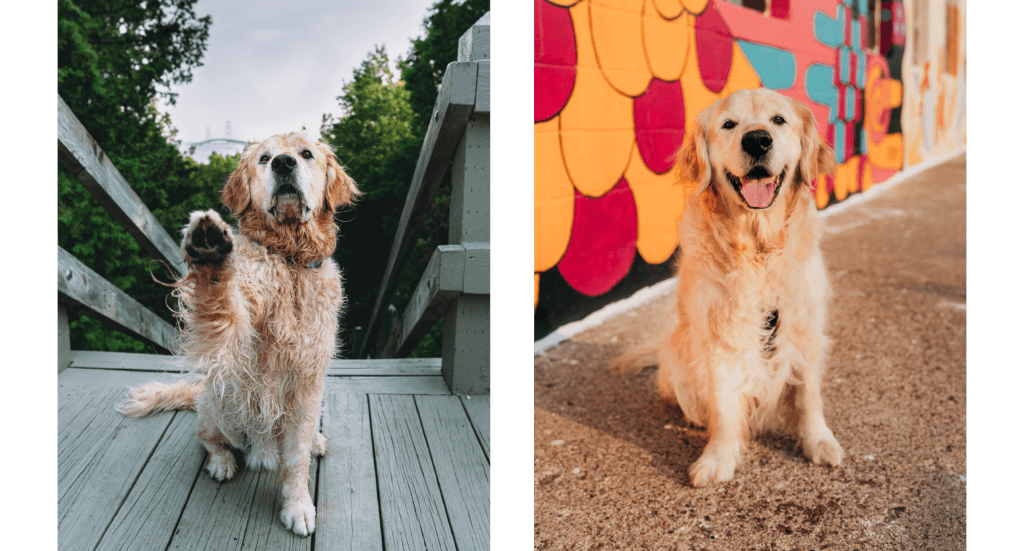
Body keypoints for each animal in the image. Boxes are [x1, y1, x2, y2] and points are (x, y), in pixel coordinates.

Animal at [117, 128, 360, 532]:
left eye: (305, 154)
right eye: (264, 159)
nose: (283, 163)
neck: (289, 260)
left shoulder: (307, 385)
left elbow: (296, 457)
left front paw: (298, 505)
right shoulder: (235, 331)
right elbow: (221, 300)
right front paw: (210, 248)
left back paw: (314, 441)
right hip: (219, 405)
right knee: (208, 439)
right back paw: (222, 462)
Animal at [618, 88, 835, 487]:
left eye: (778, 120)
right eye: (729, 124)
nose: (757, 140)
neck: (759, 249)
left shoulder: (804, 327)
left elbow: (809, 395)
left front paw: (818, 441)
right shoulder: (718, 333)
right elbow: (722, 404)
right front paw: (718, 458)